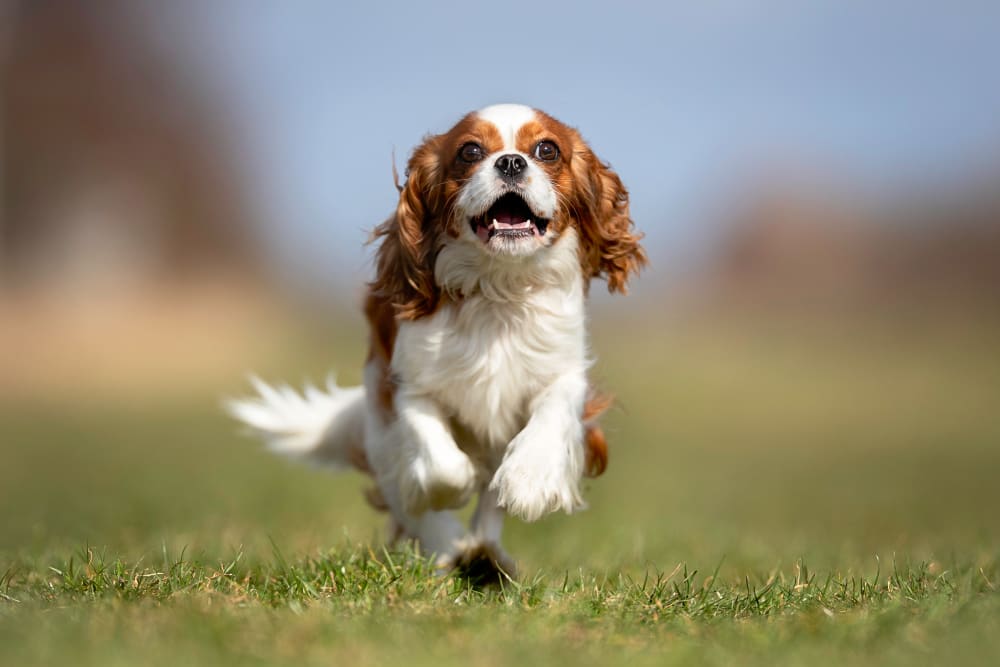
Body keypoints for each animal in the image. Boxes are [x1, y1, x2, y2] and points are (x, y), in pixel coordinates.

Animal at [229, 104, 644, 580]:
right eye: (470, 151)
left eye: (546, 150)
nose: (510, 162)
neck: (499, 289)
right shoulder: (405, 387)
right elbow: (440, 465)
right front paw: (447, 501)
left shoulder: (564, 373)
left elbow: (550, 417)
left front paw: (529, 481)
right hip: (380, 431)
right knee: (410, 497)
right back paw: (449, 548)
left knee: (489, 505)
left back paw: (486, 552)